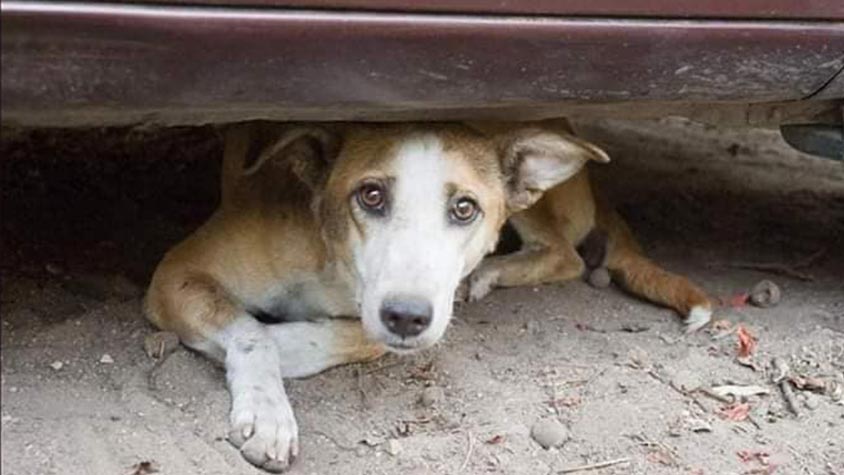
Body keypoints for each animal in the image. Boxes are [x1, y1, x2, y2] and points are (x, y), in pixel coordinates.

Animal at [145, 120, 608, 472]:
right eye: (371, 196)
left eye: (464, 208)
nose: (405, 316)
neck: (336, 266)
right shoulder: (176, 273)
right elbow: (251, 332)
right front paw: (266, 412)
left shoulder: (416, 314)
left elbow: (359, 338)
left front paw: (281, 347)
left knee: (566, 256)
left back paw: (488, 272)